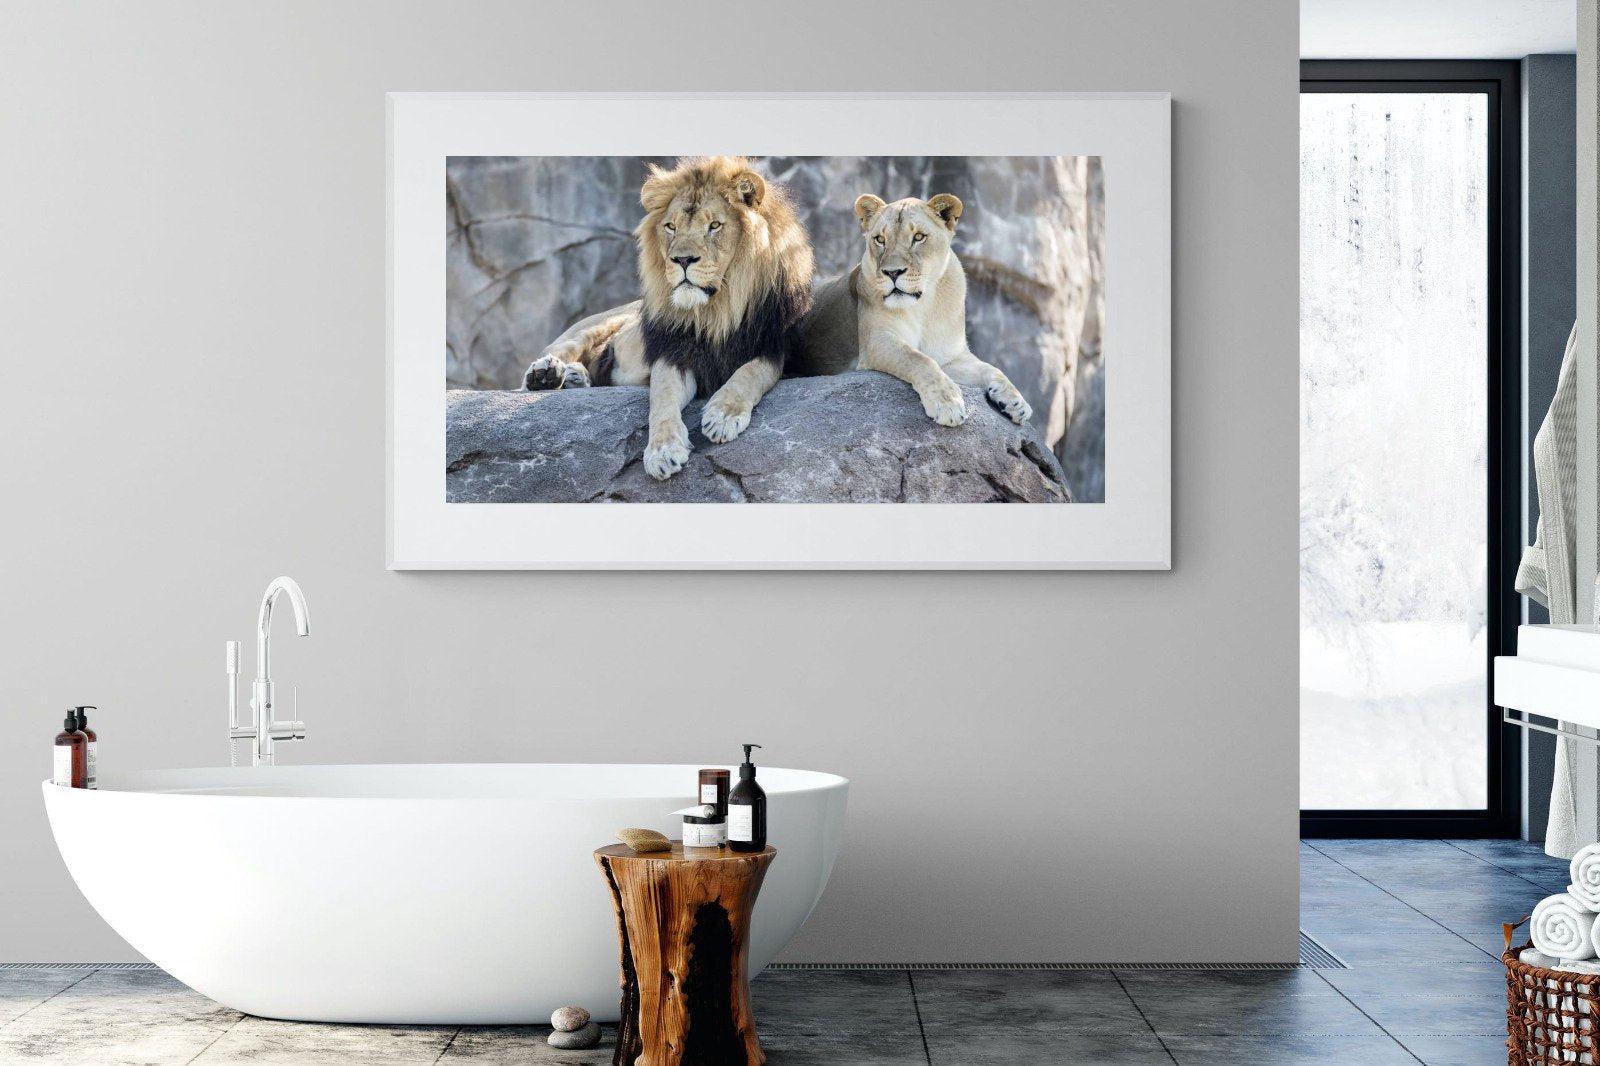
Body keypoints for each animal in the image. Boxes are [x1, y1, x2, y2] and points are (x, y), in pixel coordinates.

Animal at [522, 156, 815, 480]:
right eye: (671, 227)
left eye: (714, 226)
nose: (682, 260)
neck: (716, 310)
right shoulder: (672, 353)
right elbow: (661, 399)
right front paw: (662, 452)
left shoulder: (773, 349)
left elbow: (749, 374)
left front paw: (723, 415)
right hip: (595, 325)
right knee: (557, 352)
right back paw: (546, 374)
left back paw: (575, 377)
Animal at [791, 192, 1032, 428]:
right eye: (880, 239)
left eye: (918, 237)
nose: (892, 272)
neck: (924, 306)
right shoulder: (877, 342)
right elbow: (918, 359)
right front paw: (947, 403)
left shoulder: (951, 356)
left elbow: (991, 369)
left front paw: (1016, 402)